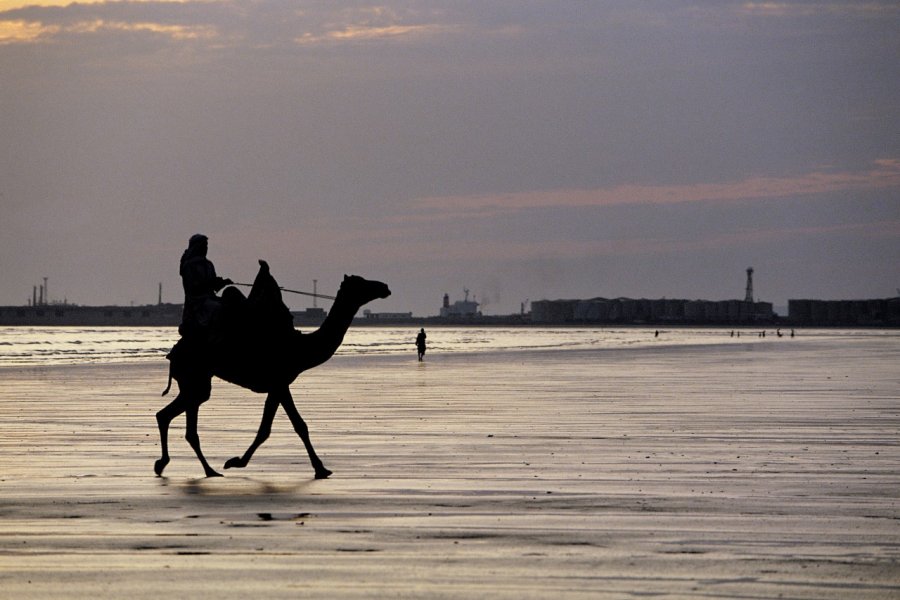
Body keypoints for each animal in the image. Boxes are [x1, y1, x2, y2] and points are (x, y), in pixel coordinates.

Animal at [152, 262, 390, 478]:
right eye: (361, 283)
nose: (384, 286)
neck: (300, 347)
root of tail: (173, 354)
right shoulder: (280, 382)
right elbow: (295, 425)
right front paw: (320, 469)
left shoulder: (278, 386)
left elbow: (269, 428)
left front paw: (236, 461)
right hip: (195, 378)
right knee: (178, 419)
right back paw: (201, 469)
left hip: (193, 382)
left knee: (169, 417)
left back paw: (180, 466)